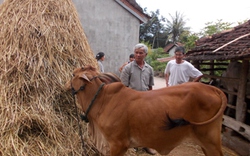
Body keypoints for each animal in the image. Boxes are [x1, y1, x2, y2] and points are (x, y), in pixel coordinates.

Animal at [65, 65, 228, 155]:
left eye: (73, 74)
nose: (65, 85)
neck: (102, 100)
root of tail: (212, 88)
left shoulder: (118, 144)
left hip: (211, 141)